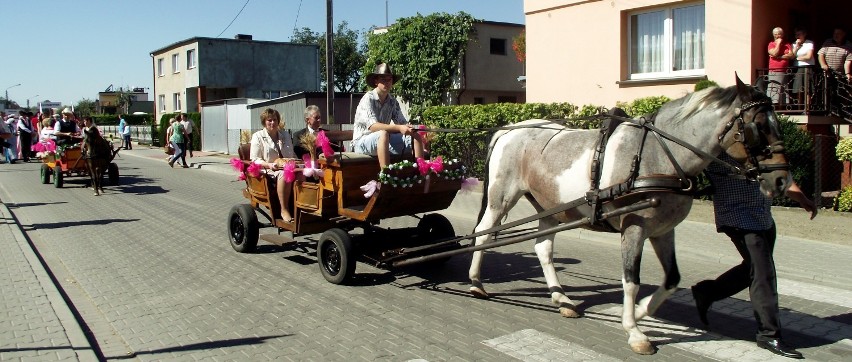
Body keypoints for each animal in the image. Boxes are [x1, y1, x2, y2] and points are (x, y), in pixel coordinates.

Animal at [470, 76, 788, 354]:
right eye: (759, 126)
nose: (782, 180)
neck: (659, 154)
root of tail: (508, 130)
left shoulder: (663, 231)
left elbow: (672, 279)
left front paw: (642, 311)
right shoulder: (634, 227)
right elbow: (631, 280)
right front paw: (634, 331)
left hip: (549, 206)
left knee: (543, 249)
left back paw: (562, 299)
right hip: (501, 199)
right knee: (484, 235)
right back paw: (476, 283)